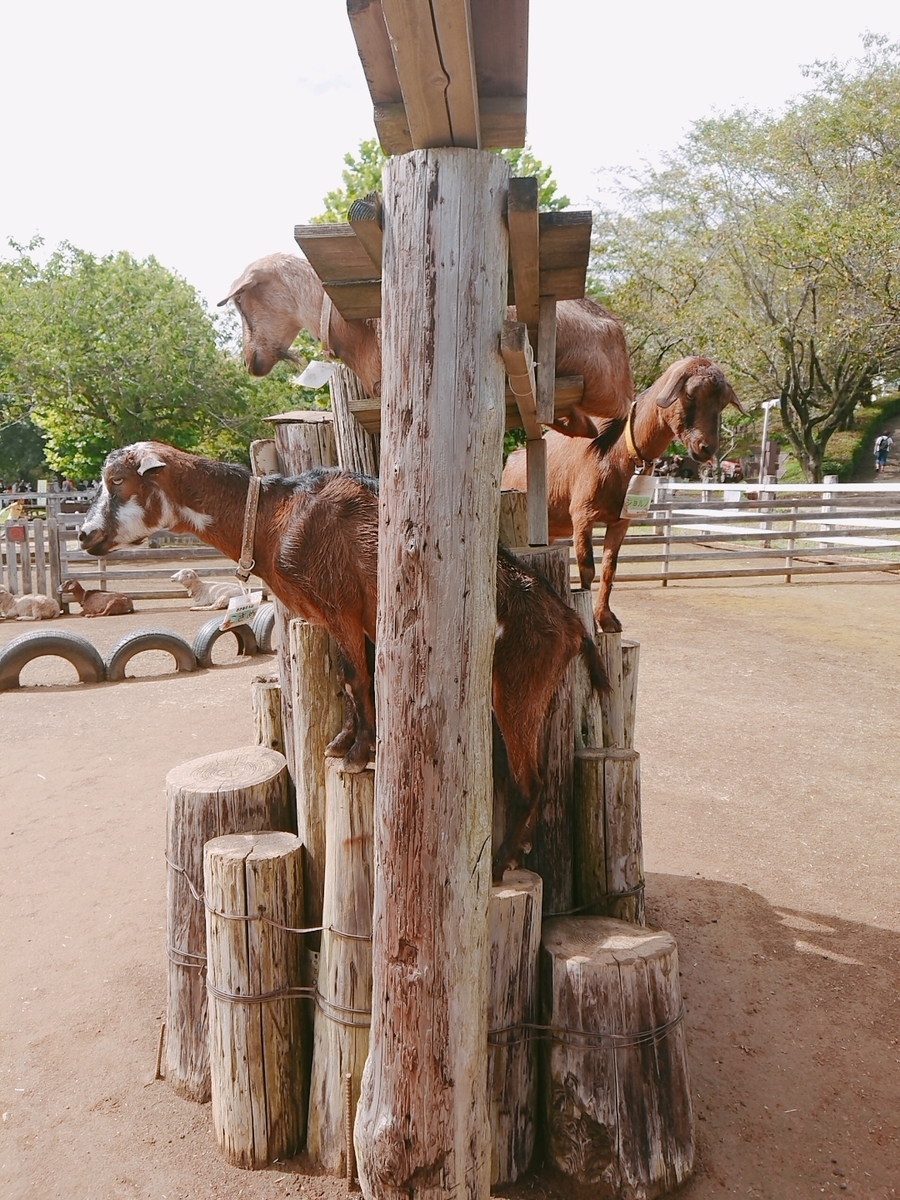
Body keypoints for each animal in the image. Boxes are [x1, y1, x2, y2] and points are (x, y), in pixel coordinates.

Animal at [81, 441, 609, 883]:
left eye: (117, 481)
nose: (86, 535)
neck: (276, 517)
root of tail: (573, 628)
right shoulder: (340, 620)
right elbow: (349, 676)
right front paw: (343, 743)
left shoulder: (339, 606)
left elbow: (355, 677)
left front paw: (360, 753)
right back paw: (518, 853)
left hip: (517, 687)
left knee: (530, 781)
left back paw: (500, 865)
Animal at [504, 355, 744, 633]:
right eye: (690, 394)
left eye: (723, 403)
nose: (706, 448)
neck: (617, 451)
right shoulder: (582, 515)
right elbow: (587, 568)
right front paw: (590, 621)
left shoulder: (621, 521)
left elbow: (610, 568)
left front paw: (607, 619)